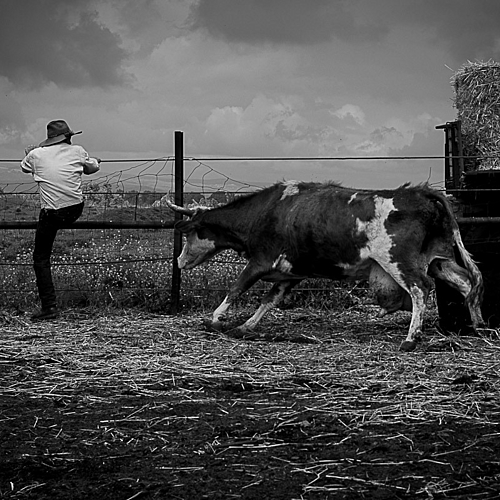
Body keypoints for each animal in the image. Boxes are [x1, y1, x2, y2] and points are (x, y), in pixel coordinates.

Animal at [167, 181, 484, 352]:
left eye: (190, 233)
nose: (180, 261)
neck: (265, 212)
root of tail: (420, 193)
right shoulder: (290, 274)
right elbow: (269, 300)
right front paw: (246, 325)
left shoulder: (260, 262)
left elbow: (236, 289)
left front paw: (214, 319)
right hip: (439, 260)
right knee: (467, 283)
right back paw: (478, 325)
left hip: (399, 261)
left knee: (421, 290)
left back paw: (411, 338)